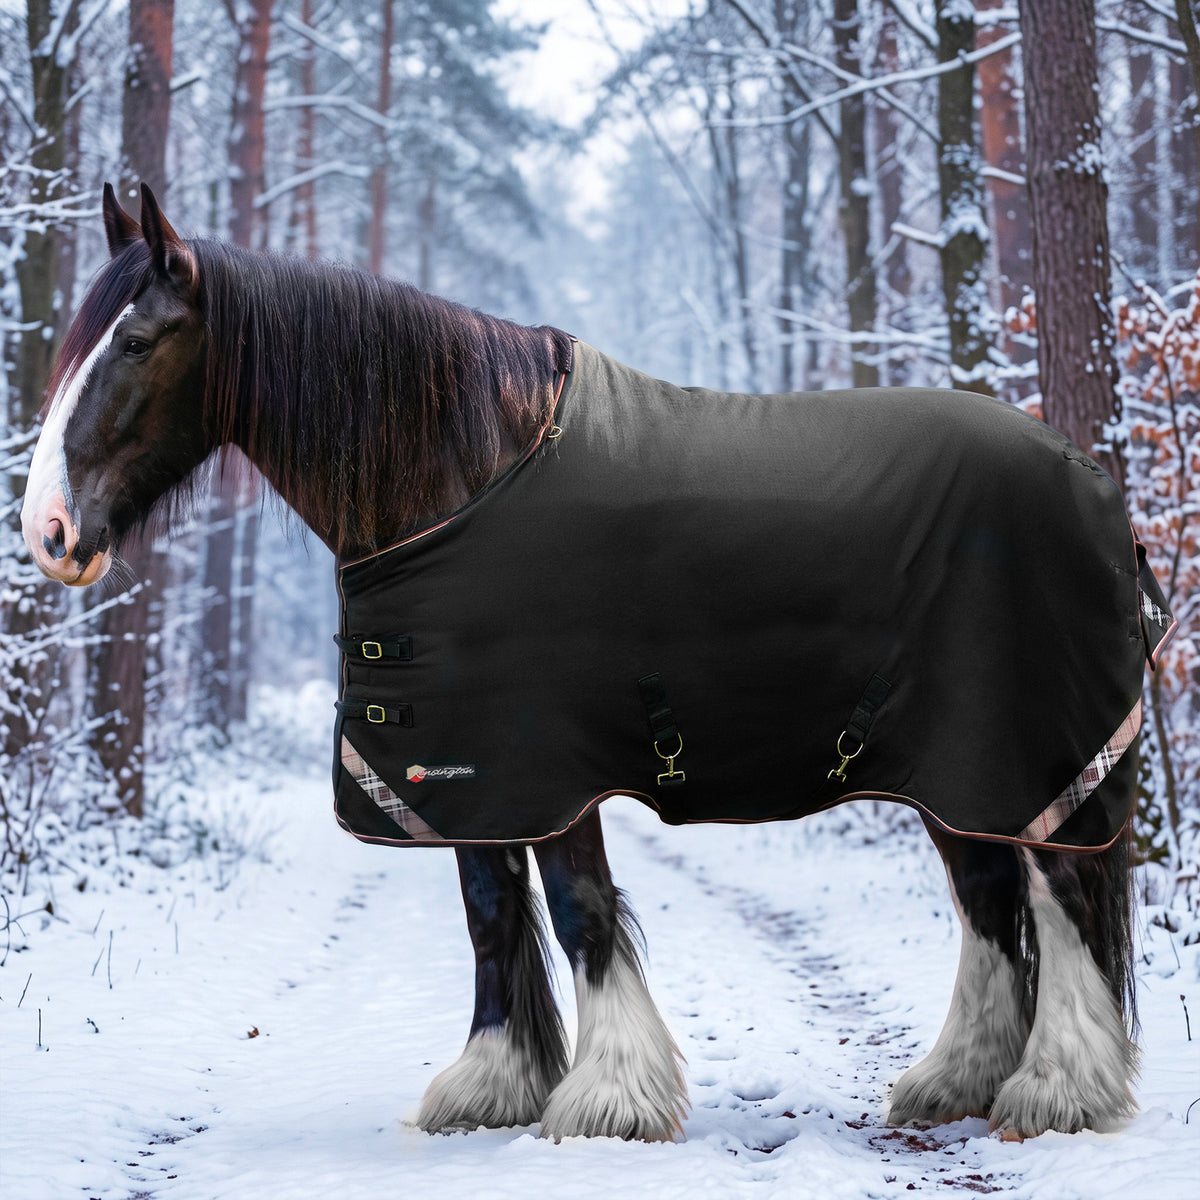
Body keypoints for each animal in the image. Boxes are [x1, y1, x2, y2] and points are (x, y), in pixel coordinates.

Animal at [20, 184, 1171, 1144]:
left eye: (137, 341)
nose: (48, 531)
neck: (464, 473)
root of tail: (1091, 474)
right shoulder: (469, 767)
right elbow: (490, 912)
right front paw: (491, 1087)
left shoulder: (549, 763)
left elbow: (578, 908)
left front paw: (610, 1098)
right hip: (953, 771)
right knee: (990, 899)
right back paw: (957, 1082)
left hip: (1019, 754)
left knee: (1061, 895)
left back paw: (1056, 1090)